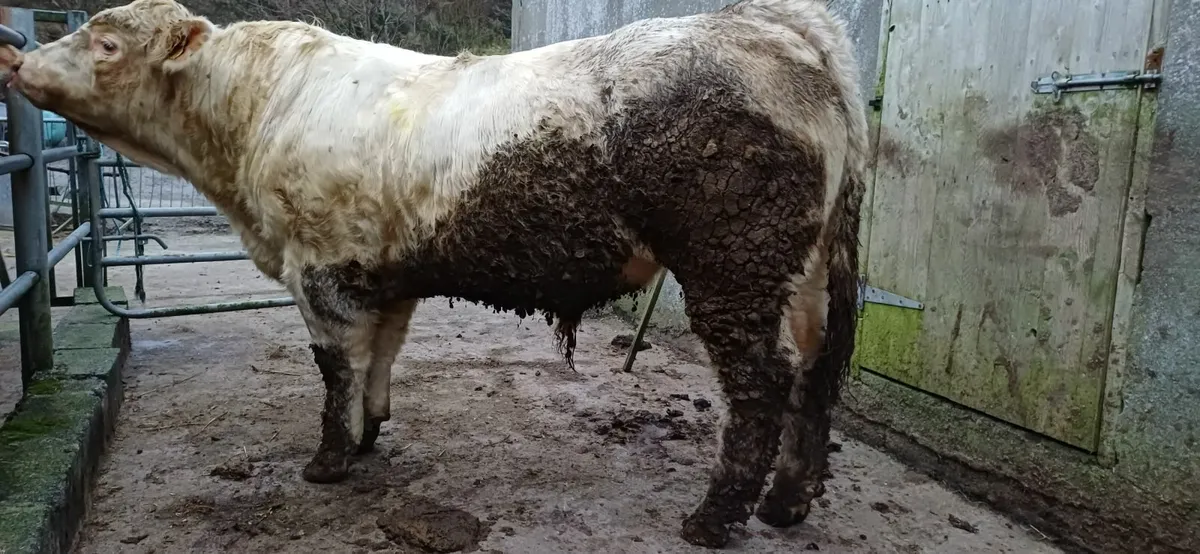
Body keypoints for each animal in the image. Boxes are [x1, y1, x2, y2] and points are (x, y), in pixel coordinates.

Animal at [1, 0, 868, 546]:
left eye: (106, 44)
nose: (14, 55)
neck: (252, 119)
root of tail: (774, 21)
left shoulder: (320, 270)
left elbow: (335, 369)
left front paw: (327, 463)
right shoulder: (382, 276)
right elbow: (379, 359)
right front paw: (369, 437)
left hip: (733, 266)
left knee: (762, 386)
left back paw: (715, 519)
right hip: (805, 271)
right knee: (817, 372)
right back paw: (787, 504)